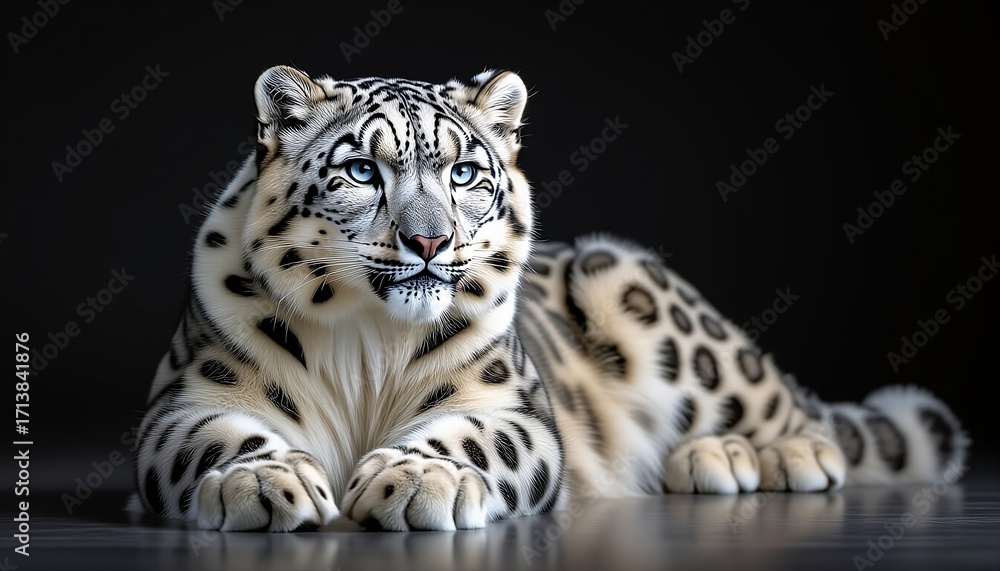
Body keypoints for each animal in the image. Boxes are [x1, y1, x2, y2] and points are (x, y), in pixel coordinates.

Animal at [132, 65, 968, 531]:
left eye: (464, 172)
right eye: (362, 170)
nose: (429, 240)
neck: (369, 340)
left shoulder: (510, 405)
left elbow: (471, 438)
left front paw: (418, 479)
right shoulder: (188, 397)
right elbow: (216, 436)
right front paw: (261, 482)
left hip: (632, 287)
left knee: (790, 408)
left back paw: (752, 451)